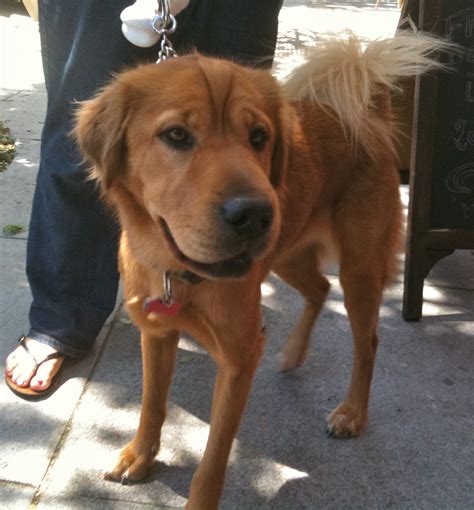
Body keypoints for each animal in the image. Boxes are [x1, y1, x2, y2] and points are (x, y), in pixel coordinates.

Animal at [75, 33, 448, 508]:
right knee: (318, 288)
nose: (255, 215)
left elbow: (214, 457)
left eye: (259, 137)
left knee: (367, 342)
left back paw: (352, 412)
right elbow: (152, 405)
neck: (179, 273)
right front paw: (140, 456)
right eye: (176, 135)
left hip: (359, 270)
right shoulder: (156, 334)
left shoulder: (238, 359)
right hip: (286, 255)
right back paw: (292, 353)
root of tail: (370, 110)